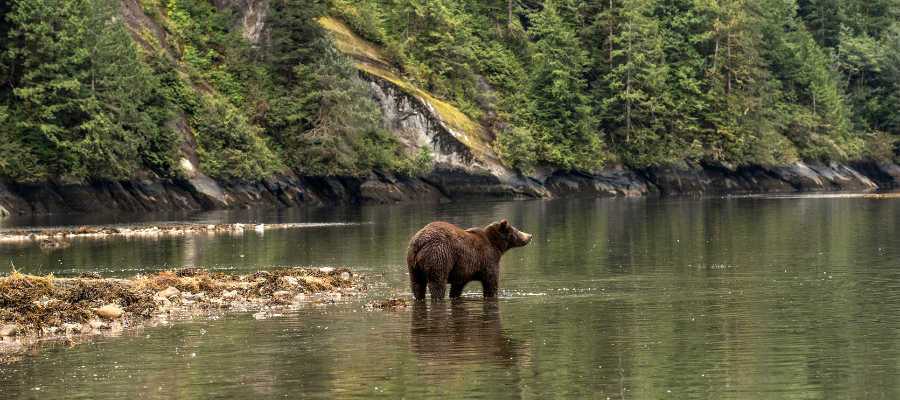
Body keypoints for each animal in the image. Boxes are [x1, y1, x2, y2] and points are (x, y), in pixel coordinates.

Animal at [404, 222, 532, 300]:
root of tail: (420, 240)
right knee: (437, 282)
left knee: (417, 284)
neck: (497, 245)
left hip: (412, 261)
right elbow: (491, 280)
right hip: (439, 255)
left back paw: (419, 296)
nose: (530, 235)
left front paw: (454, 294)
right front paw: (493, 294)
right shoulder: (487, 258)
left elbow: (457, 286)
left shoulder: (463, 269)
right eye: (517, 230)